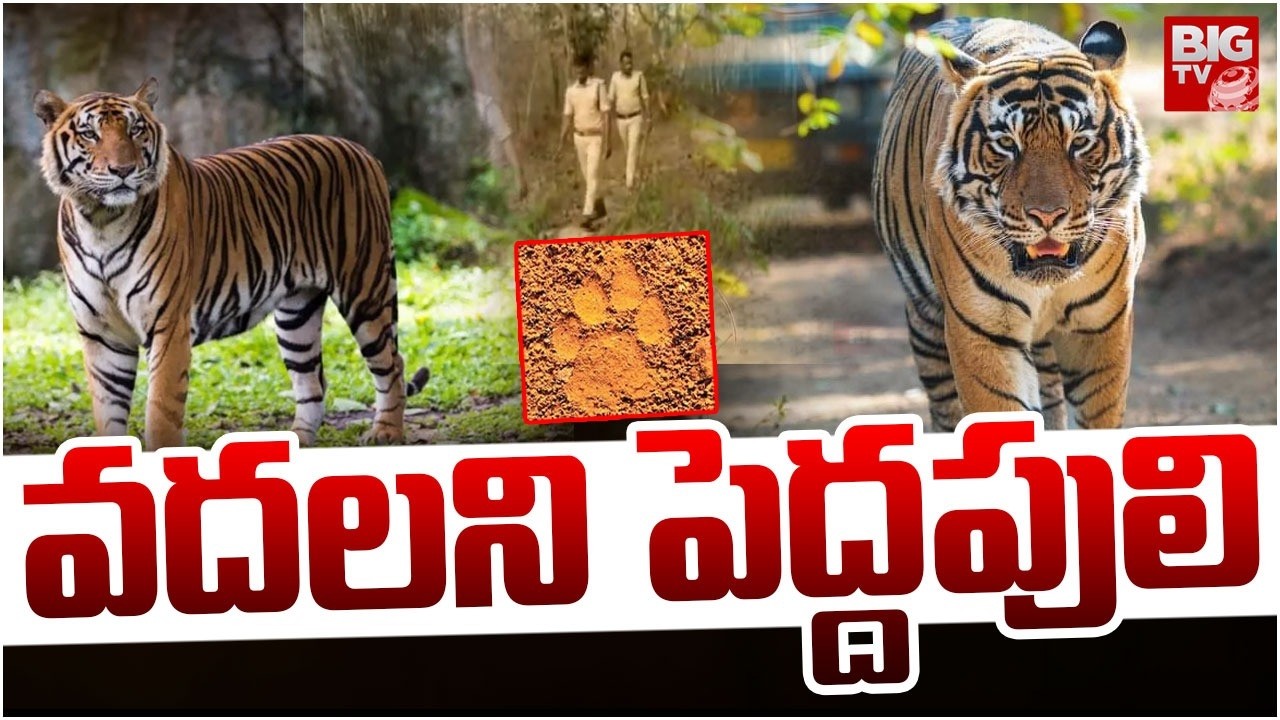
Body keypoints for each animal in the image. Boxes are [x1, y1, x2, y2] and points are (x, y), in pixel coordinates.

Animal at [32, 77, 430, 451]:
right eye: (89, 134)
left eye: (135, 129)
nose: (124, 170)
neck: (101, 222)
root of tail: (360, 149)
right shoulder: (102, 335)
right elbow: (108, 413)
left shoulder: (169, 325)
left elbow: (161, 410)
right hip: (297, 314)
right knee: (313, 382)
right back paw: (297, 441)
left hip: (366, 289)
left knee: (393, 364)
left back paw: (386, 432)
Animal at [872, 18, 1149, 432]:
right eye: (1006, 144)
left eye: (1080, 142)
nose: (1047, 215)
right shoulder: (983, 331)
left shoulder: (1100, 327)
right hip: (925, 317)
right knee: (945, 406)